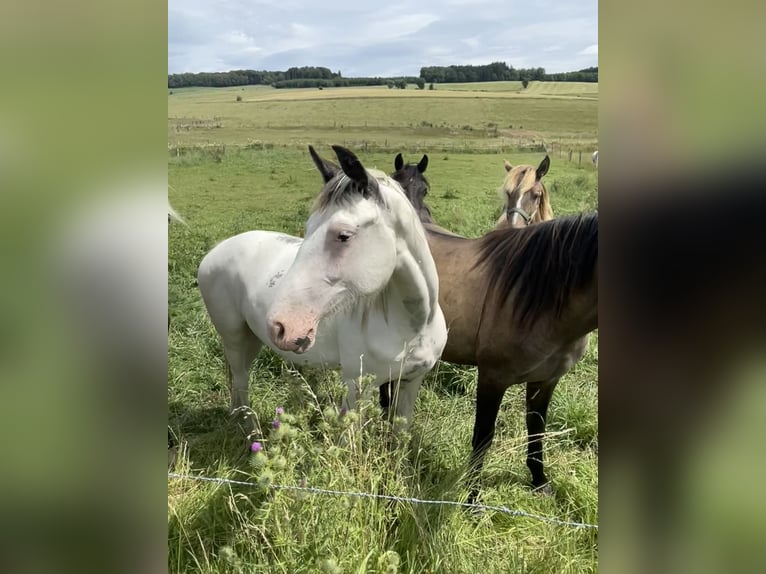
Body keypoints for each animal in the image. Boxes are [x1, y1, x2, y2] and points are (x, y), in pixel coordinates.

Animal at [197, 145, 448, 432]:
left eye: (343, 235)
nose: (282, 326)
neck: (414, 325)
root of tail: (214, 252)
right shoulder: (356, 388)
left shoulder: (410, 382)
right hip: (234, 339)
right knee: (241, 383)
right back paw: (251, 432)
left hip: (251, 339)